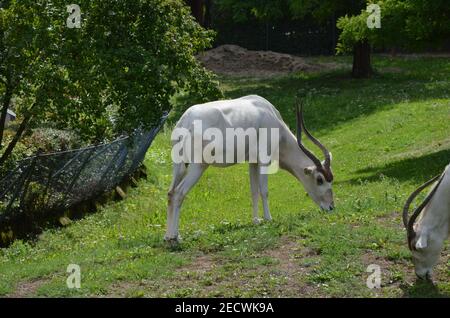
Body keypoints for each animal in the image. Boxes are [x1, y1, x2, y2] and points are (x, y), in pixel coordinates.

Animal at [165, 94, 334, 241]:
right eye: (319, 180)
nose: (331, 207)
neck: (272, 117)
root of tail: (186, 122)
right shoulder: (264, 159)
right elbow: (264, 191)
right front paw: (268, 218)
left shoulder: (253, 162)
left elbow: (254, 191)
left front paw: (256, 221)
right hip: (198, 166)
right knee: (179, 193)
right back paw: (175, 238)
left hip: (179, 166)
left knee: (170, 193)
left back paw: (168, 237)